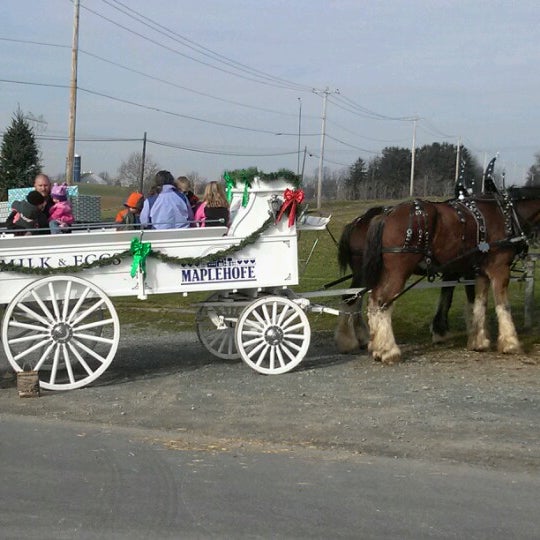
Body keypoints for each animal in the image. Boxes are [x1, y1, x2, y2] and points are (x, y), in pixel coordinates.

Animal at [338, 188, 540, 364]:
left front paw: (478, 341)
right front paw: (510, 343)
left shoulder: (479, 271)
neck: (508, 213)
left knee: (367, 301)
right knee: (376, 301)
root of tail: (384, 216)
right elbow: (501, 305)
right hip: (394, 271)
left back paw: (373, 345)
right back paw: (384, 349)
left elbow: (478, 304)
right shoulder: (498, 269)